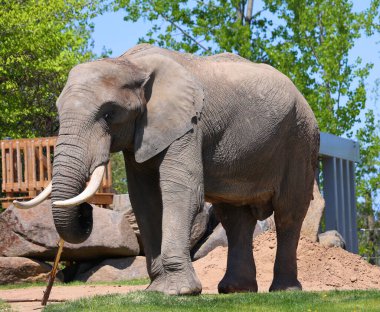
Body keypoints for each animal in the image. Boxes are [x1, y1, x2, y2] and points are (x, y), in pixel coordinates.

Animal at [14, 44, 318, 294]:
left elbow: (181, 190)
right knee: (235, 218)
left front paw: (178, 292)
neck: (130, 63)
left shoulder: (189, 123)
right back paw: (236, 291)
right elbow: (144, 199)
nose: (87, 212)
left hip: (301, 139)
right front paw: (156, 290)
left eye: (109, 114)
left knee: (289, 212)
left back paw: (284, 290)